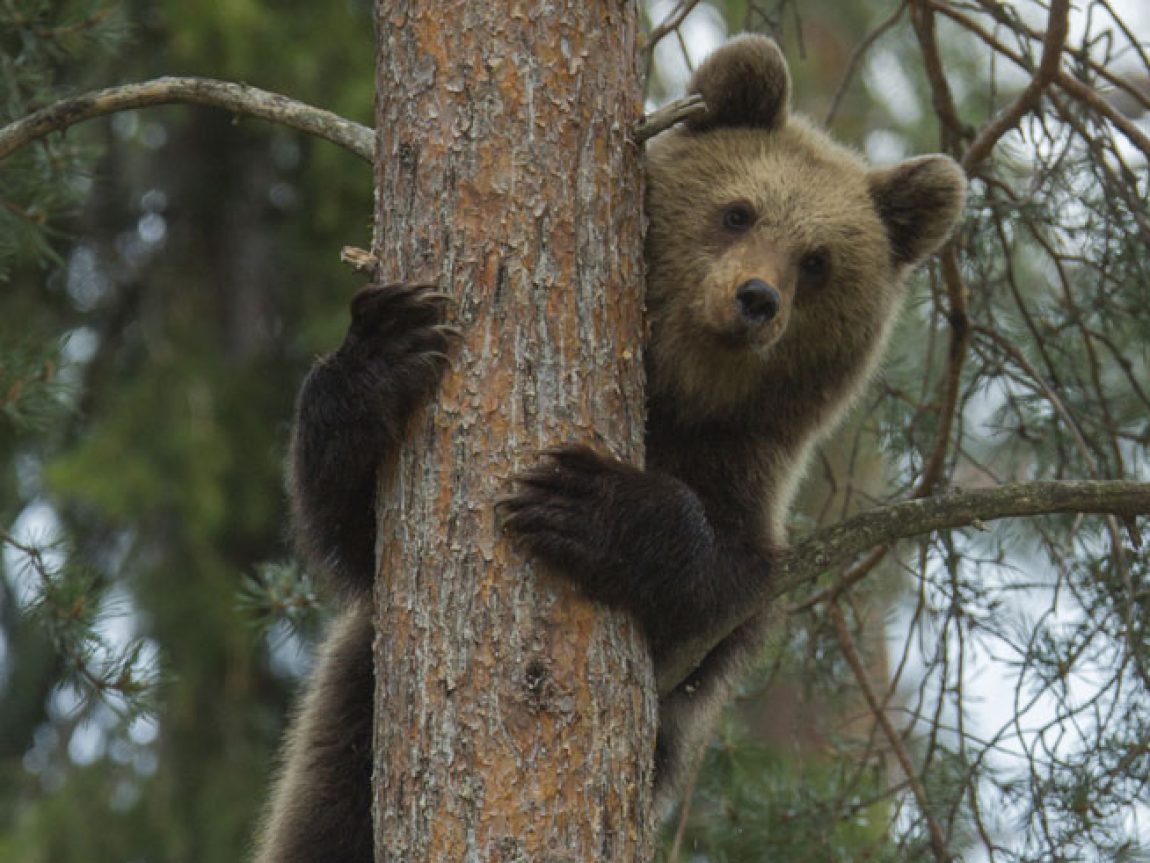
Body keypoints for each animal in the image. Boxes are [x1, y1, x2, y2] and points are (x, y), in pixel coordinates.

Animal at [251, 33, 961, 863]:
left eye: (818, 260)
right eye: (738, 210)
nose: (757, 298)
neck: (680, 394)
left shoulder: (743, 482)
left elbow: (717, 594)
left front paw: (588, 503)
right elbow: (354, 524)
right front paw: (388, 347)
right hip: (356, 705)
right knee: (328, 806)